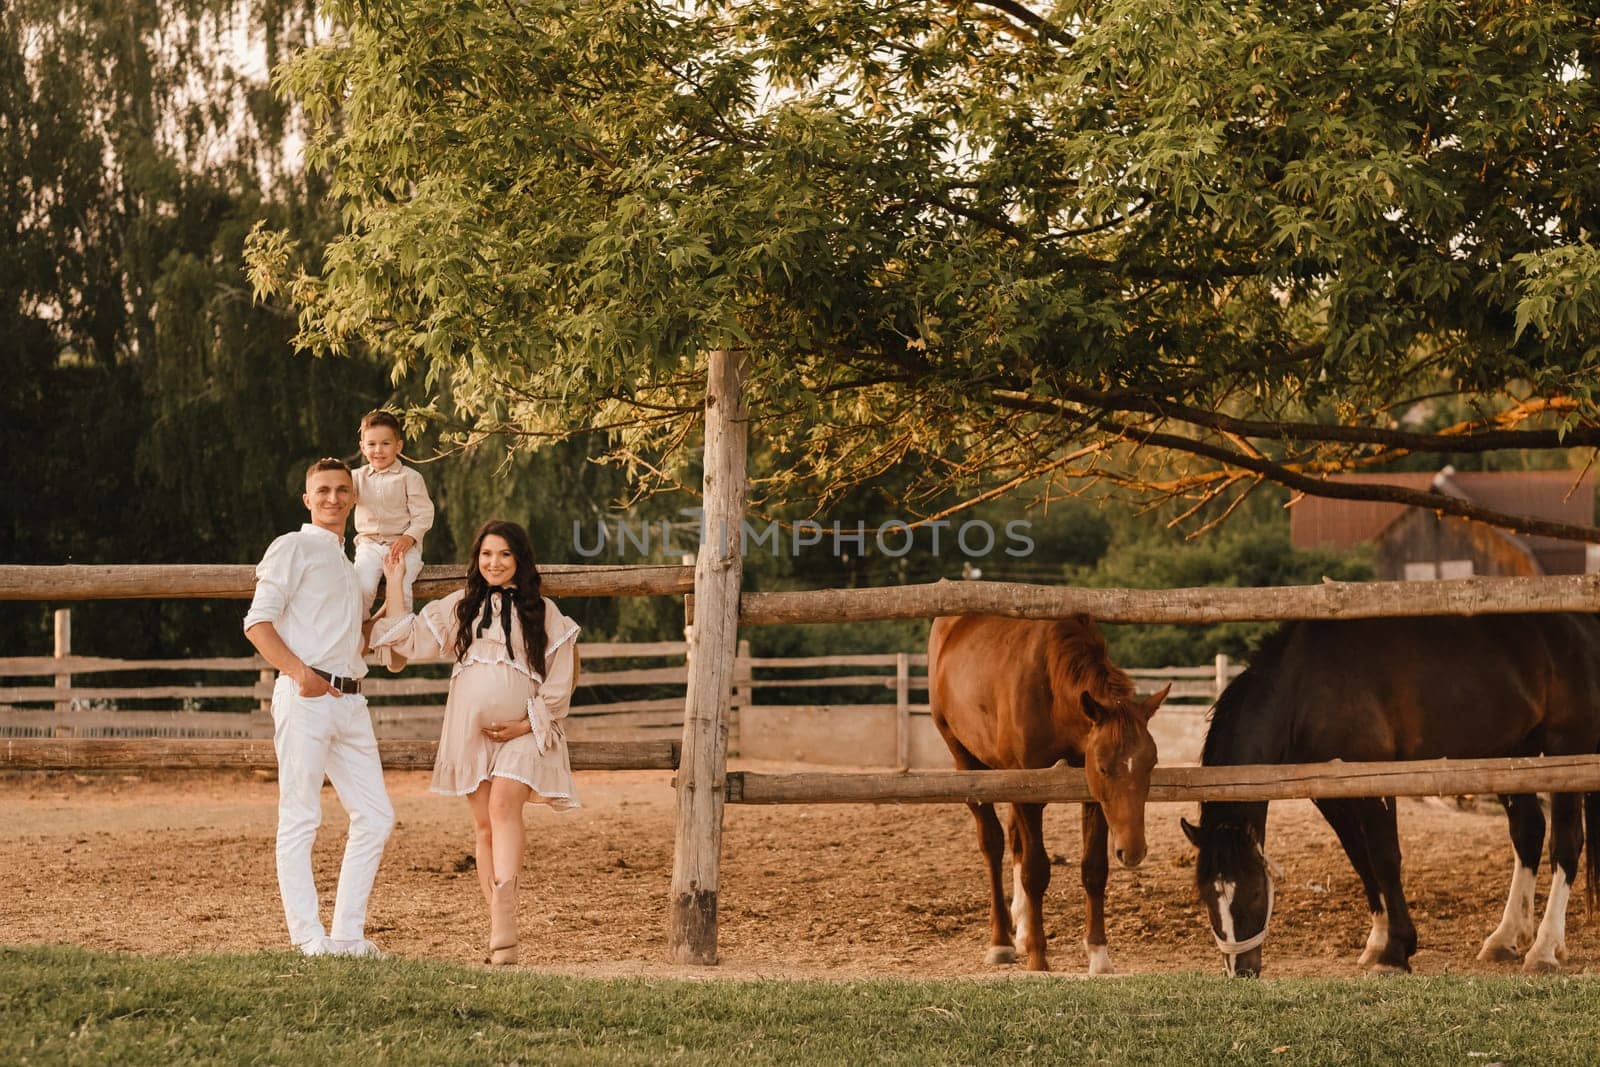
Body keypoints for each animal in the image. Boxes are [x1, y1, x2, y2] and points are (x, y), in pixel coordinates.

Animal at [928, 614, 1164, 972]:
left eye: (1152, 763)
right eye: (1104, 768)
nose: (1133, 850)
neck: (1051, 692)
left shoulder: (1091, 796)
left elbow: (1094, 869)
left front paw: (1098, 954)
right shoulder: (1029, 792)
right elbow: (1036, 871)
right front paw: (1038, 958)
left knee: (1014, 839)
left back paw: (1023, 930)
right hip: (966, 761)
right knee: (993, 844)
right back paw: (1001, 941)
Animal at [1177, 614, 1600, 979]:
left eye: (1251, 893)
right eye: (1207, 897)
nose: (1241, 970)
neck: (1306, 685)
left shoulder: (1375, 783)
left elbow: (1384, 859)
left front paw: (1396, 951)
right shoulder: (1331, 794)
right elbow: (1361, 860)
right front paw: (1377, 942)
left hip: (1565, 751)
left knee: (1565, 845)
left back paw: (1545, 948)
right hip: (1511, 755)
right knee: (1528, 834)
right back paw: (1505, 939)